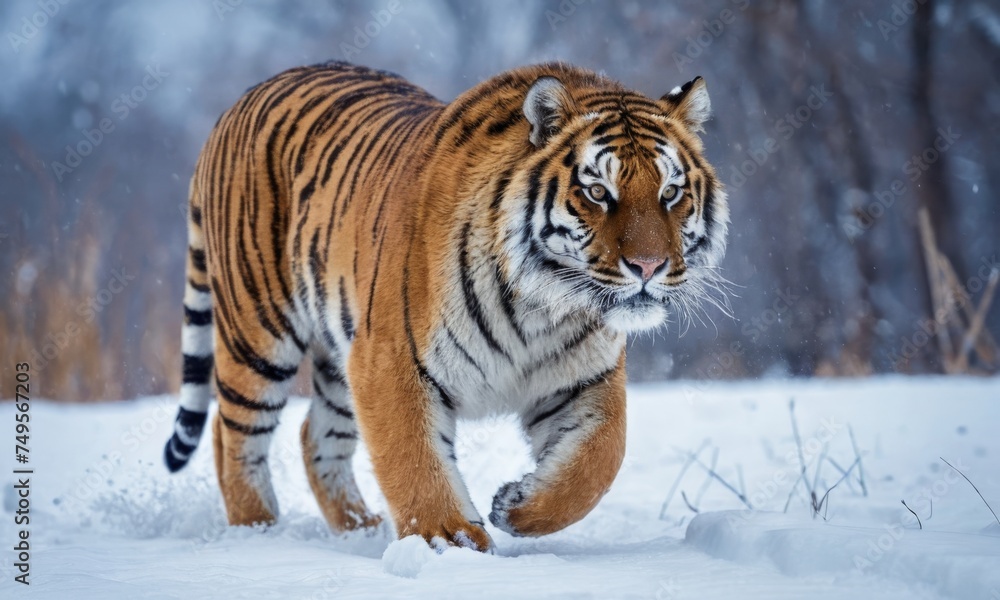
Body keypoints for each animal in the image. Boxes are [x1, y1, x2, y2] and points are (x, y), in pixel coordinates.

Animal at [163, 61, 729, 552]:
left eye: (671, 192)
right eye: (596, 192)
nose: (648, 266)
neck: (544, 307)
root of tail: (241, 99)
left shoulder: (584, 377)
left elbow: (599, 461)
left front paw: (516, 506)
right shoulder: (390, 360)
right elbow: (414, 461)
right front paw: (450, 542)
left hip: (338, 350)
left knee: (314, 435)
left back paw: (360, 531)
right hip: (258, 333)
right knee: (233, 436)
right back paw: (256, 534)